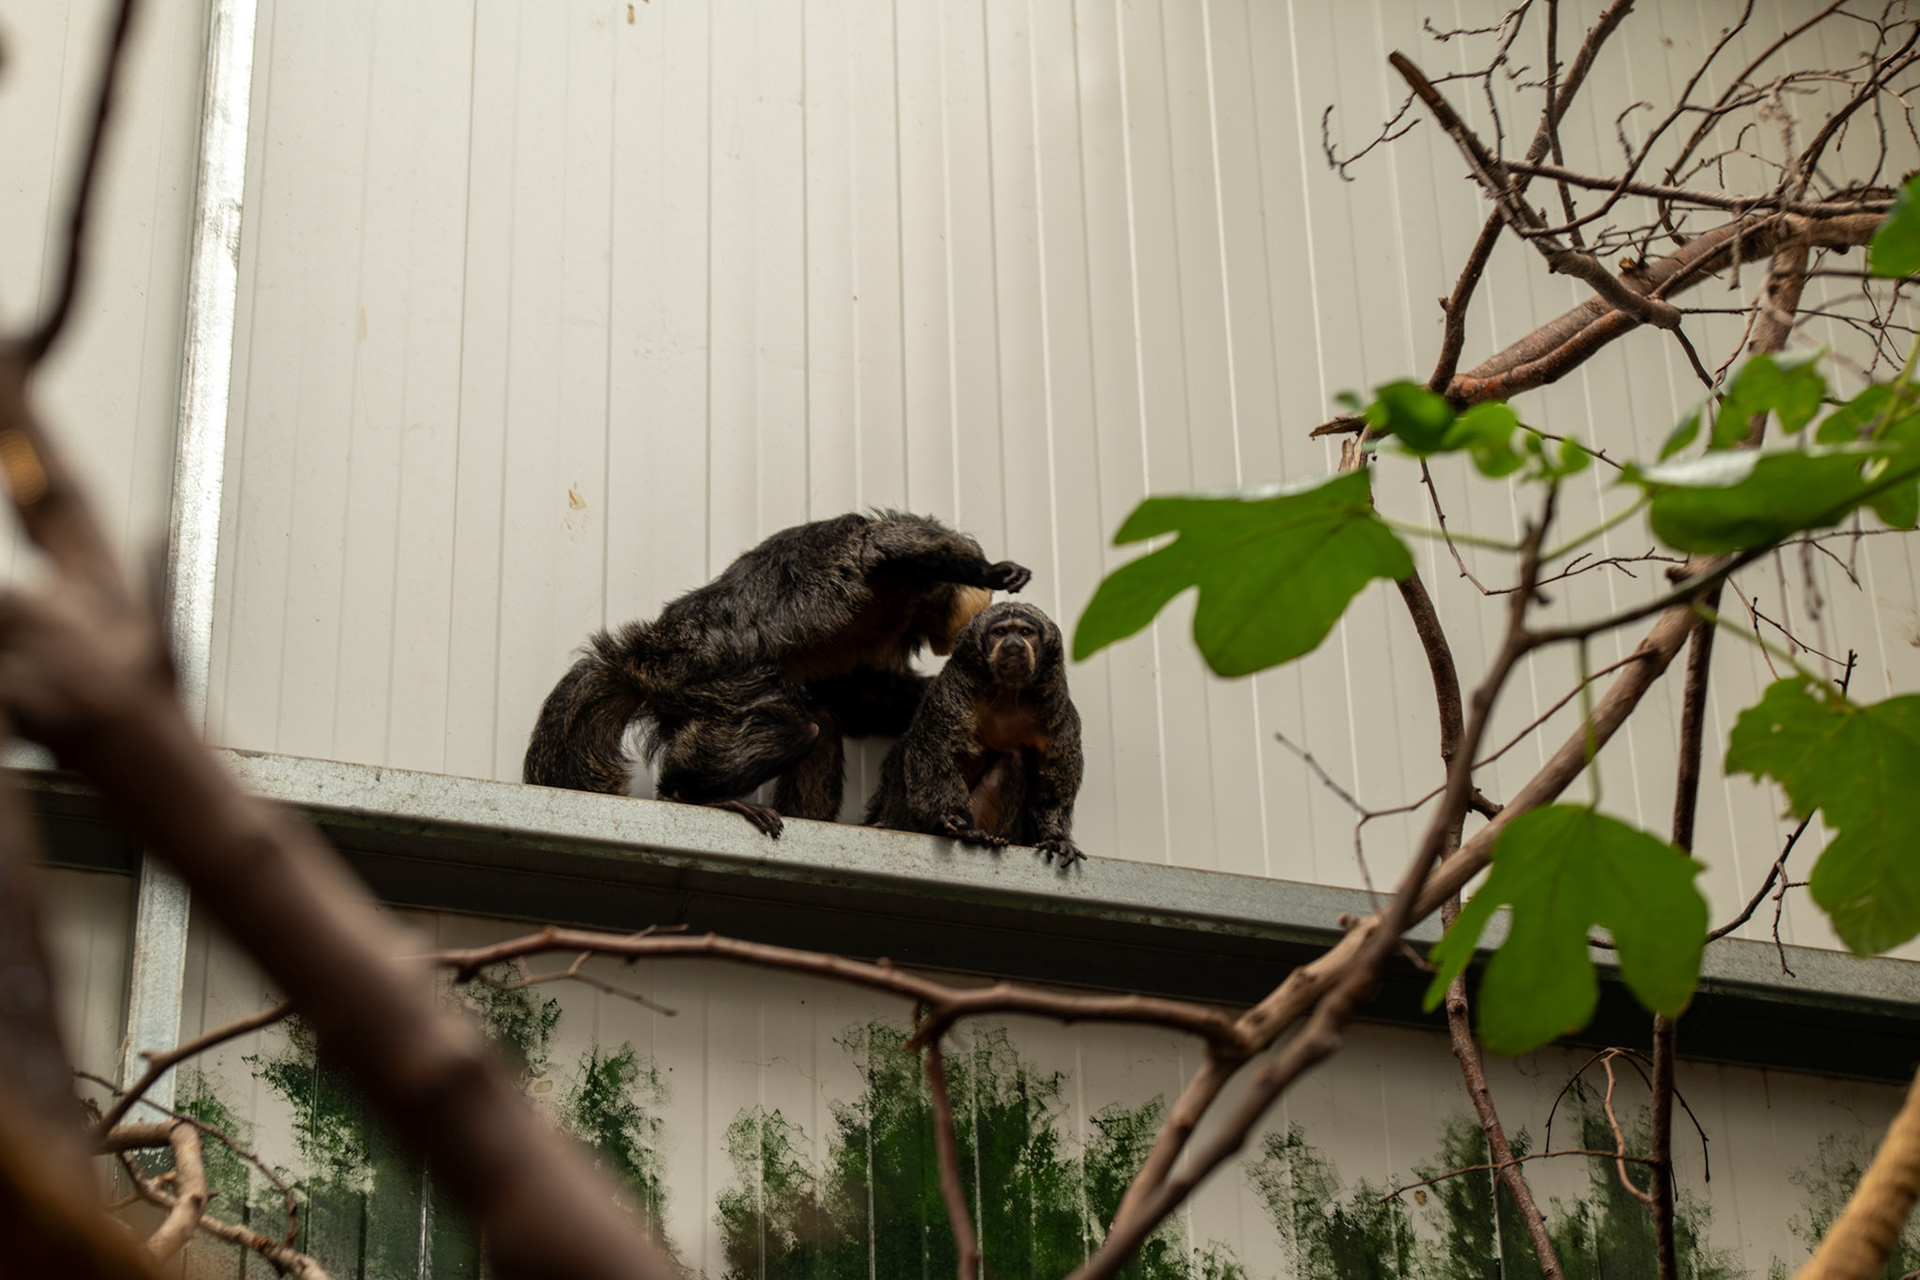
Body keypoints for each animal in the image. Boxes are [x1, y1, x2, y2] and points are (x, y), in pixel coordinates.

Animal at [522, 511, 1029, 838]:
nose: (954, 635)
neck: (914, 605)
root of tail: (649, 648)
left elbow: (862, 699)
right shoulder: (894, 571)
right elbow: (886, 543)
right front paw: (989, 569)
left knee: (821, 718)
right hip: (698, 671)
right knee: (794, 723)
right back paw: (691, 793)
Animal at [864, 601, 1084, 865]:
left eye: (1025, 632)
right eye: (1000, 632)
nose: (1013, 645)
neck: (1009, 694)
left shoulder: (1059, 715)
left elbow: (1051, 787)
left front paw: (1055, 836)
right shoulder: (950, 691)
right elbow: (932, 749)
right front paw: (950, 820)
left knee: (1013, 760)